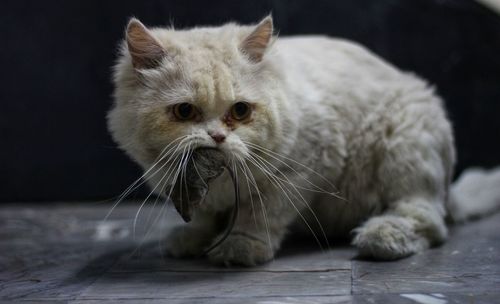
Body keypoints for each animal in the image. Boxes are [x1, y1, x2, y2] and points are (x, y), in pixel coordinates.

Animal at [107, 15, 500, 266]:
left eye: (240, 111)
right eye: (185, 112)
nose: (217, 136)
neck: (219, 178)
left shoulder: (300, 170)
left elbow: (260, 214)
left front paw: (240, 248)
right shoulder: (190, 186)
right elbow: (205, 216)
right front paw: (194, 239)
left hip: (405, 147)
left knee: (427, 220)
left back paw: (380, 237)